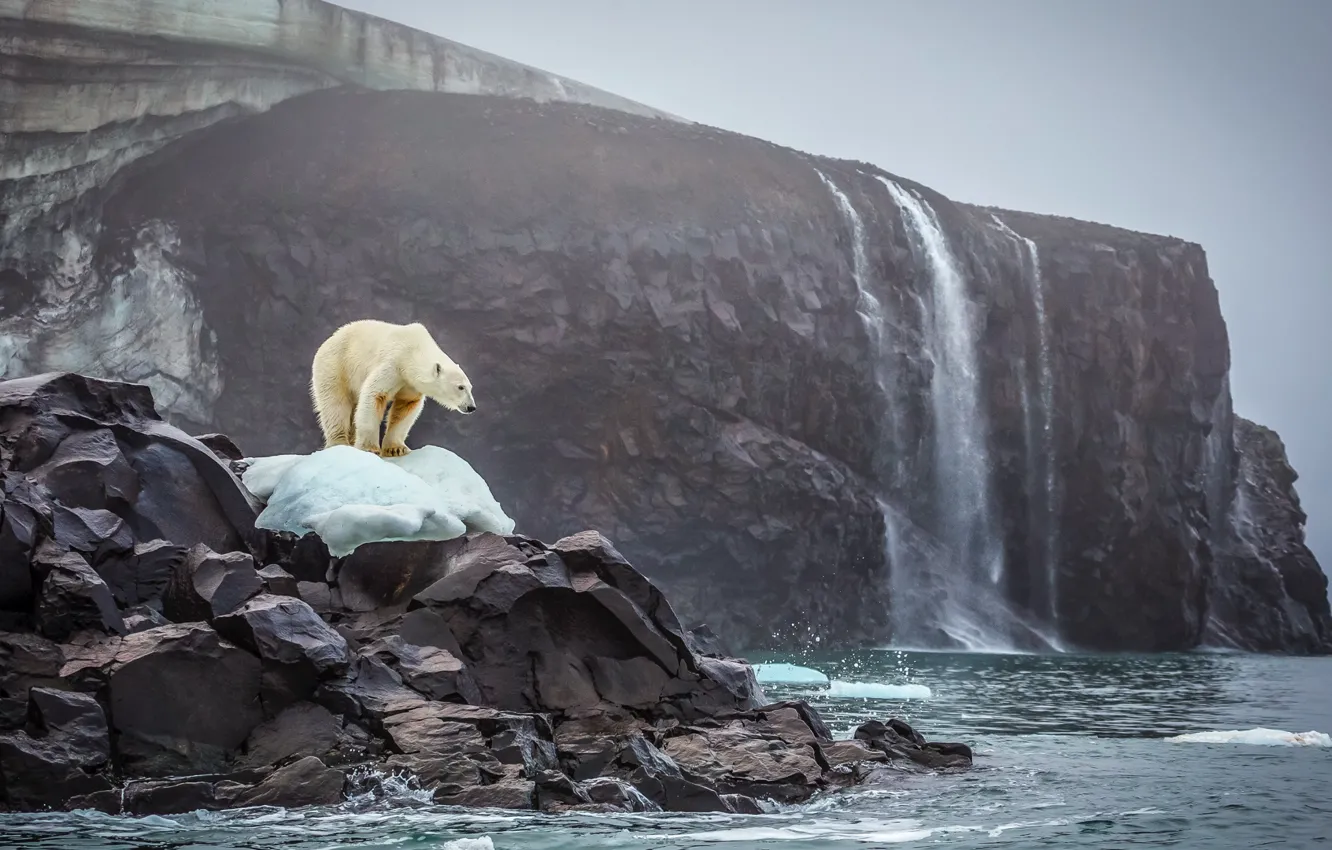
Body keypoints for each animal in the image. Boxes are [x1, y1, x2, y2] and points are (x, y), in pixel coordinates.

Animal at [309, 319, 475, 457]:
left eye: (470, 387)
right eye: (460, 387)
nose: (471, 407)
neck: (413, 351)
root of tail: (330, 339)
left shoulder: (410, 384)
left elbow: (406, 407)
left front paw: (396, 449)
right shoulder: (393, 364)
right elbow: (375, 394)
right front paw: (370, 448)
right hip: (335, 366)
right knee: (335, 404)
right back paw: (339, 442)